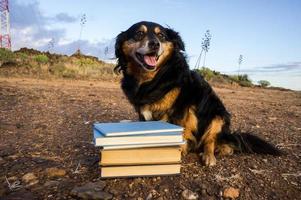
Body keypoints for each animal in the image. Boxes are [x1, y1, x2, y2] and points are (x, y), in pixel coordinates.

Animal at [113, 21, 280, 166]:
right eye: (139, 33)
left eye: (161, 36)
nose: (155, 44)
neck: (151, 79)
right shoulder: (141, 110)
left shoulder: (180, 110)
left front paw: (177, 151)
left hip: (218, 116)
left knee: (212, 141)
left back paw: (210, 155)